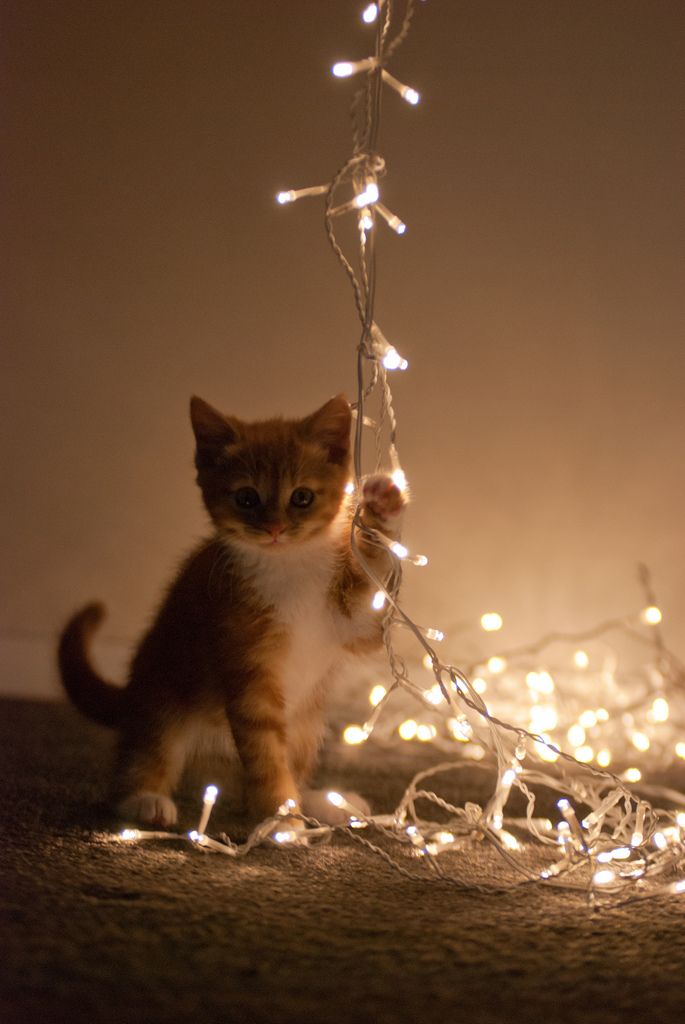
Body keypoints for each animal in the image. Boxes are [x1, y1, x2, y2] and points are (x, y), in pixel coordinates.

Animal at [58, 395, 403, 827]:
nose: (274, 529)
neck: (290, 565)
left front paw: (381, 514)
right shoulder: (246, 666)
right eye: (246, 498)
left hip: (307, 725)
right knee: (146, 751)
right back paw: (144, 798)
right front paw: (280, 819)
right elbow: (265, 752)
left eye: (302, 497)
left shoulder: (348, 622)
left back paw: (320, 801)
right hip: (162, 695)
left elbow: (370, 615)